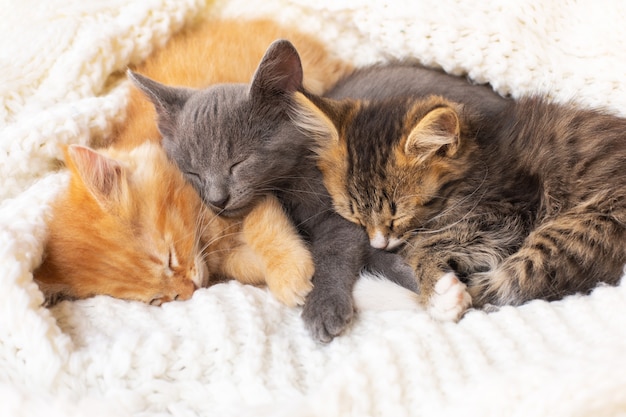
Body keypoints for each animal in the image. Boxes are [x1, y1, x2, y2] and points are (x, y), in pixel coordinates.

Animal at [129, 40, 416, 342]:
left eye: (239, 162)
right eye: (192, 171)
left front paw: (324, 305)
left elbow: (335, 250)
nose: (218, 199)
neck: (286, 182)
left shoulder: (343, 213)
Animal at [294, 68, 624, 316]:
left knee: (505, 288)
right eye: (354, 216)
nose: (378, 244)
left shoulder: (509, 211)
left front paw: (438, 292)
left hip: (582, 228)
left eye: (398, 215)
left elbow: (426, 246)